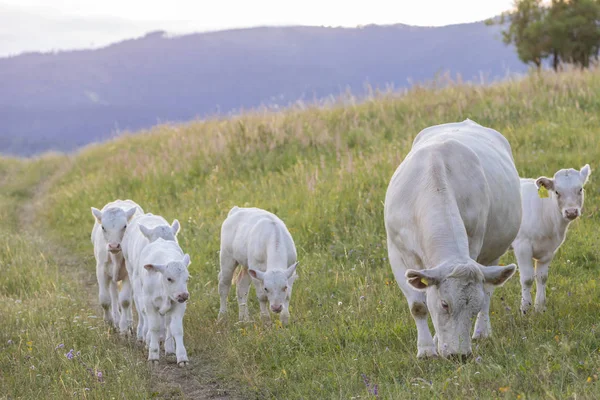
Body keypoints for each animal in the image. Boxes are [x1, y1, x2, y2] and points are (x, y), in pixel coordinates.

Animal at [89, 199, 144, 334]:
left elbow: (125, 300)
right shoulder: (101, 270)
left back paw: (127, 321)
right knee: (113, 294)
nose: (114, 246)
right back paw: (116, 318)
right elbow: (104, 299)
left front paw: (124, 327)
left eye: (125, 226)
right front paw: (109, 322)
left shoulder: (128, 274)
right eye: (103, 227)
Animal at [120, 214, 179, 342]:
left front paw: (163, 336)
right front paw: (147, 335)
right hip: (130, 268)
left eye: (172, 243)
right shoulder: (138, 280)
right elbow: (143, 307)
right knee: (138, 303)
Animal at [138, 239, 190, 368]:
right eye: (169, 278)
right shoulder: (149, 304)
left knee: (168, 325)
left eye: (187, 279)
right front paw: (153, 355)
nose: (183, 295)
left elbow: (177, 329)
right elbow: (155, 327)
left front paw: (182, 357)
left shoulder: (179, 305)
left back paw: (170, 349)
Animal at [384, 119, 520, 360]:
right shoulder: (396, 252)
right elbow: (418, 306)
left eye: (472, 308)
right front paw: (426, 350)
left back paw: (482, 332)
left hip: (492, 255)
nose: (460, 355)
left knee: (488, 291)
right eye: (445, 304)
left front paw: (437, 342)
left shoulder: (474, 246)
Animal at [510, 164, 592, 314]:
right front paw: (525, 309)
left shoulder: (549, 249)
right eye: (557, 192)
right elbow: (527, 278)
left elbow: (542, 277)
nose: (571, 212)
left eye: (580, 189)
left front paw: (539, 309)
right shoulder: (522, 245)